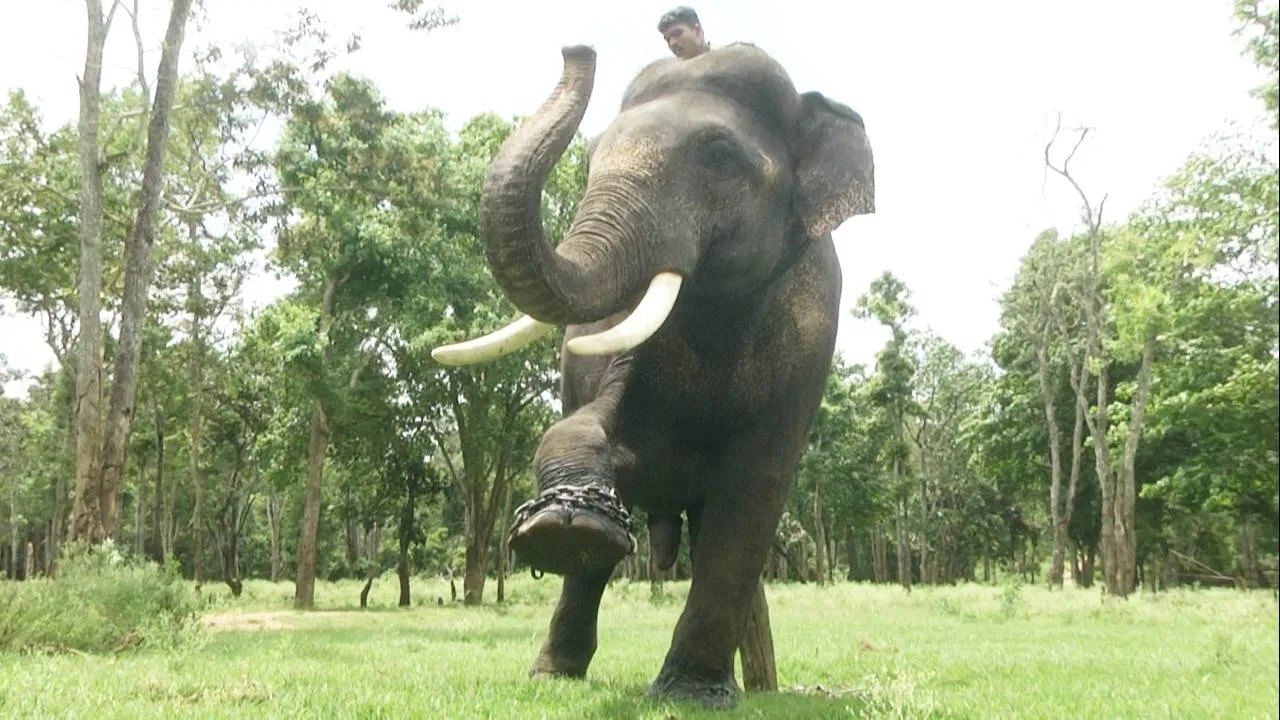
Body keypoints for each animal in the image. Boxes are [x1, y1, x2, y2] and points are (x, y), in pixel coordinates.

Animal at [435, 40, 875, 707]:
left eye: (719, 156)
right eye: (590, 157)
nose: (577, 49)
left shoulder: (811, 340)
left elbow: (754, 490)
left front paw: (689, 695)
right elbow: (603, 429)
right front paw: (562, 524)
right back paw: (556, 661)